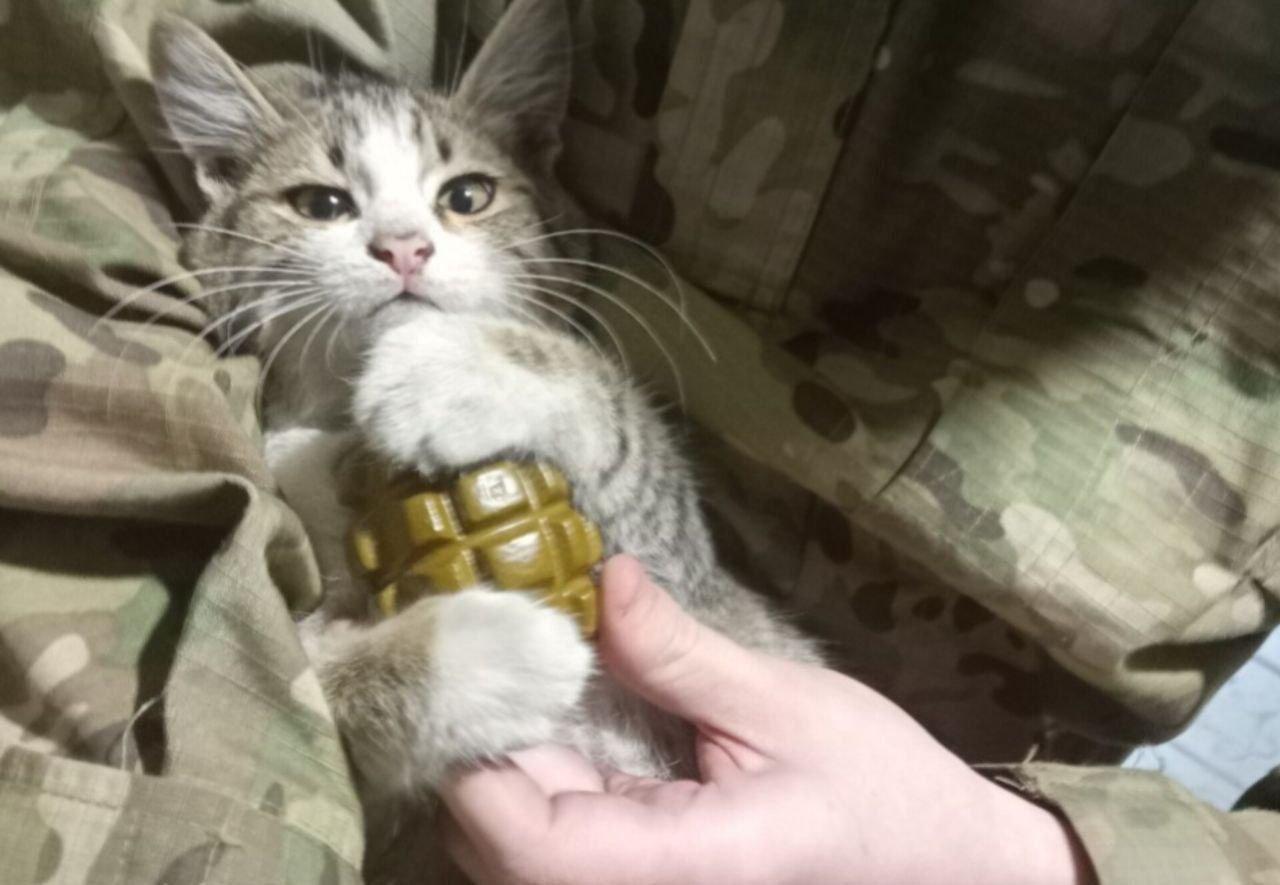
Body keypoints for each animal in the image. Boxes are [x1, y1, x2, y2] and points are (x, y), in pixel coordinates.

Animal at [150, 0, 821, 878]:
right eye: (321, 205)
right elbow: (277, 682)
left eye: (467, 194)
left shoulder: (688, 578)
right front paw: (478, 656)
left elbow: (622, 429)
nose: (404, 245)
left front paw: (455, 369)